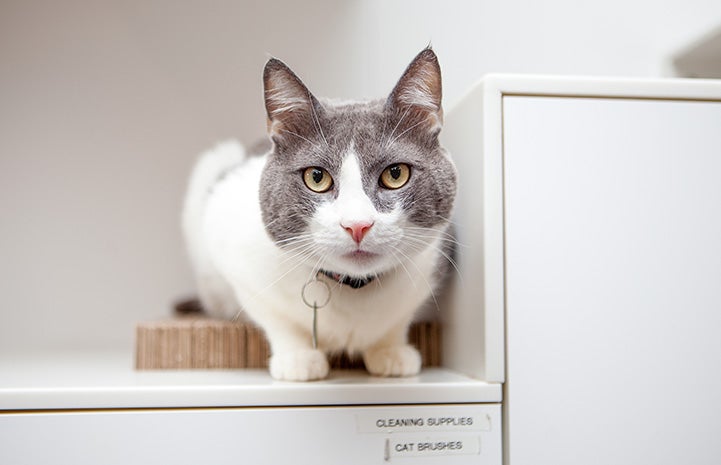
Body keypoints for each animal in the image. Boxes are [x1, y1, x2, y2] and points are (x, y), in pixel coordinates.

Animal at [183, 48, 458, 380]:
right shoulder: (230, 245)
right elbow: (275, 318)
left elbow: (397, 321)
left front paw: (390, 351)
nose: (357, 225)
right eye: (317, 177)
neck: (353, 289)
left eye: (395, 174)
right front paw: (298, 358)